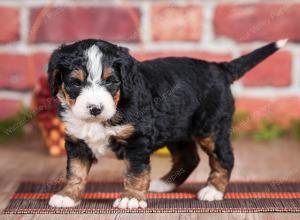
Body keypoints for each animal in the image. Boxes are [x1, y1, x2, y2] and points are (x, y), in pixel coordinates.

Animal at [47, 38, 288, 209]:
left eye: (111, 81)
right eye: (75, 83)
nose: (95, 108)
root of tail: (218, 67)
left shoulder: (137, 140)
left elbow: (135, 171)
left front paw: (131, 198)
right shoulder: (77, 141)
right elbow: (75, 171)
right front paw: (68, 196)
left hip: (211, 128)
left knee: (224, 158)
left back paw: (213, 191)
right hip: (176, 130)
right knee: (188, 159)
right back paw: (163, 184)